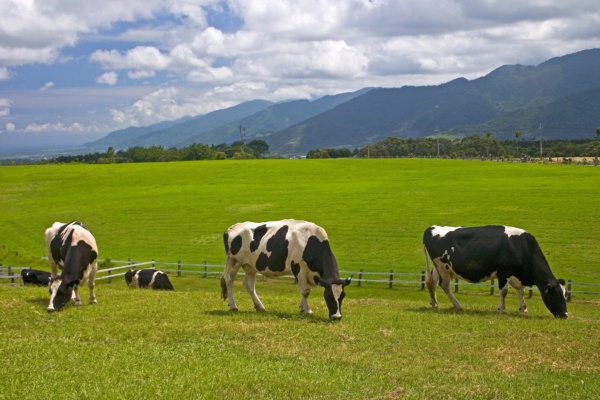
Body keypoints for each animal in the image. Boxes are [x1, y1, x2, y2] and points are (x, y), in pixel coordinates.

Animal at [221, 220, 352, 320]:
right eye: (329, 296)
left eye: (343, 296)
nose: (337, 317)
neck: (310, 241)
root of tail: (232, 227)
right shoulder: (299, 268)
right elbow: (306, 291)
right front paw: (307, 310)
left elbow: (306, 290)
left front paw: (302, 307)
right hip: (233, 261)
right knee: (229, 280)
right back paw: (233, 306)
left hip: (250, 266)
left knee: (249, 285)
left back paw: (260, 307)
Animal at [422, 225, 568, 318]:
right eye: (557, 296)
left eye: (565, 295)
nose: (565, 315)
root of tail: (432, 227)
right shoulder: (503, 272)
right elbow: (504, 291)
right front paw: (502, 309)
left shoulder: (517, 276)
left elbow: (520, 290)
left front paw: (523, 308)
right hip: (442, 266)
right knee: (444, 285)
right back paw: (457, 306)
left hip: (438, 267)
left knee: (433, 283)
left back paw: (434, 303)